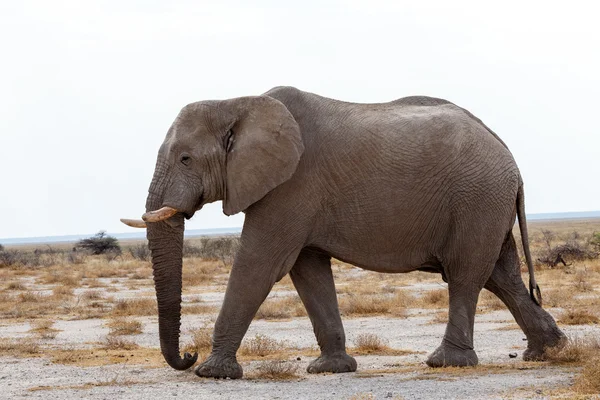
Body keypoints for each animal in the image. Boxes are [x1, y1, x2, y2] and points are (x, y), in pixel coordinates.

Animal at [120, 86, 564, 378]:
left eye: (185, 158)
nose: (188, 355)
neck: (238, 102)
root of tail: (509, 156)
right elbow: (308, 271)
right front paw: (331, 369)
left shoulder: (291, 185)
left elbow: (260, 263)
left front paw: (213, 373)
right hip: (487, 201)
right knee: (501, 276)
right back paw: (547, 350)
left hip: (477, 197)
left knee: (466, 274)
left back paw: (446, 362)